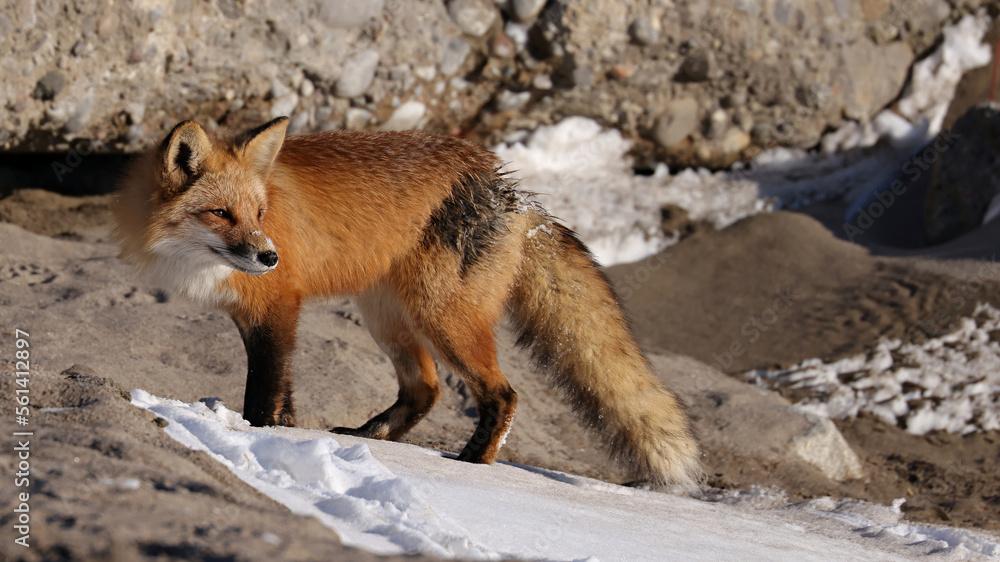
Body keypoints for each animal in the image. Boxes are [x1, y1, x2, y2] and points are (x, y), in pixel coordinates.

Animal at [113, 116, 701, 488]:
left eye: (259, 213)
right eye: (220, 213)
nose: (269, 256)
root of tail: (515, 194)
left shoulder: (279, 308)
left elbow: (264, 395)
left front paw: (259, 440)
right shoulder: (257, 316)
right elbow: (286, 398)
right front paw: (294, 443)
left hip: (443, 319)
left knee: (503, 395)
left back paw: (473, 462)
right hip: (387, 318)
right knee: (426, 389)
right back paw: (370, 437)